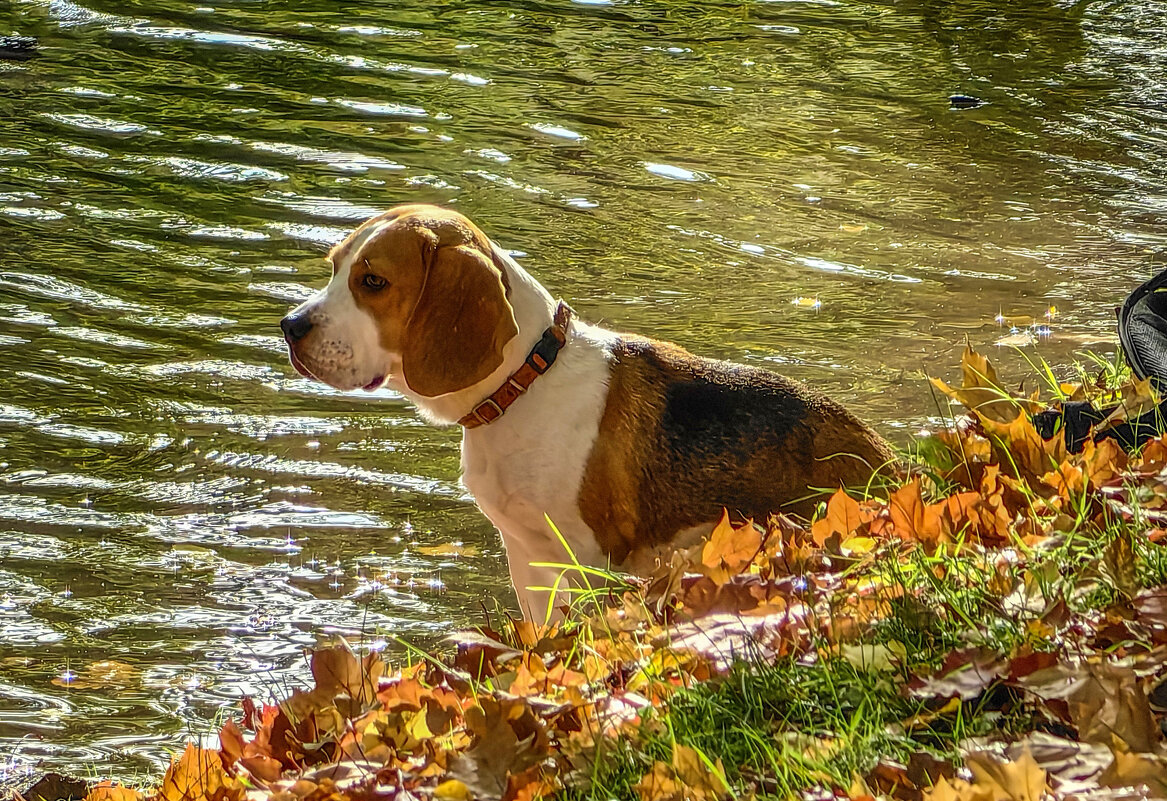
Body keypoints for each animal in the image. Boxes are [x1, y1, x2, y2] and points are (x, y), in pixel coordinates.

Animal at [280, 204, 891, 616]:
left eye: (373, 281)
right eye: (334, 267)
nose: (290, 327)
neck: (524, 386)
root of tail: (892, 463)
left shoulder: (587, 558)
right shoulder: (526, 554)